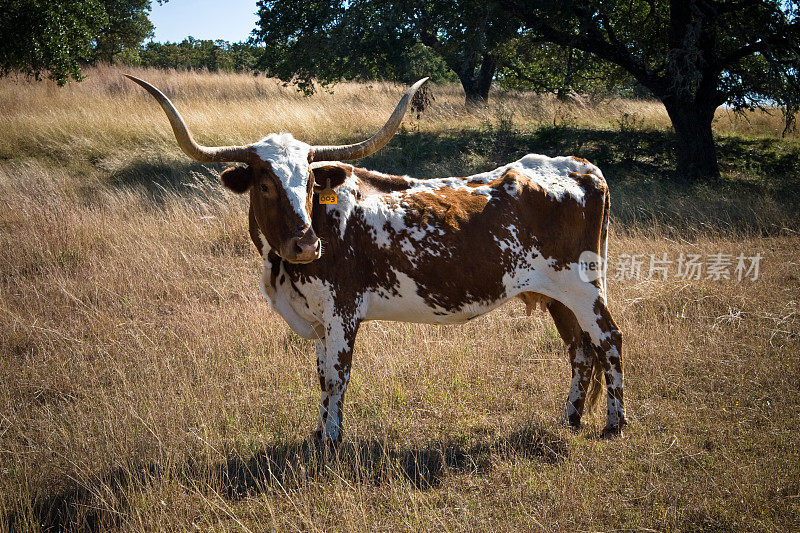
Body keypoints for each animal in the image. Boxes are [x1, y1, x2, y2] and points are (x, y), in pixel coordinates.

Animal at [125, 75, 624, 440]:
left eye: (311, 181)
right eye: (264, 184)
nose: (306, 245)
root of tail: (582, 166)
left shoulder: (342, 313)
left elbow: (336, 377)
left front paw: (332, 440)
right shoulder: (320, 319)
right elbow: (321, 375)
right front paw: (319, 433)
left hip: (582, 287)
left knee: (609, 340)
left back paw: (614, 425)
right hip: (557, 295)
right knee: (581, 350)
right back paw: (570, 419)